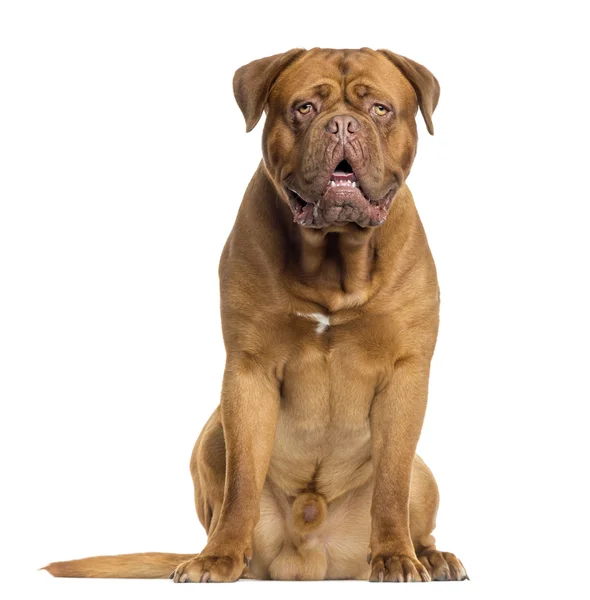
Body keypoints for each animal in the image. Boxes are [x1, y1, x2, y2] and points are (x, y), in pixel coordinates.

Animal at [44, 49, 470, 584]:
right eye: (305, 107)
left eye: (379, 109)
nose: (343, 125)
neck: (334, 257)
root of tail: (310, 555)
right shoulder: (248, 371)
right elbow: (243, 480)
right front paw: (220, 557)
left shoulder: (405, 373)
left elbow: (391, 484)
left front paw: (396, 556)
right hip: (210, 437)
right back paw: (220, 554)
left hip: (424, 473)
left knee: (412, 497)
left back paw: (431, 556)